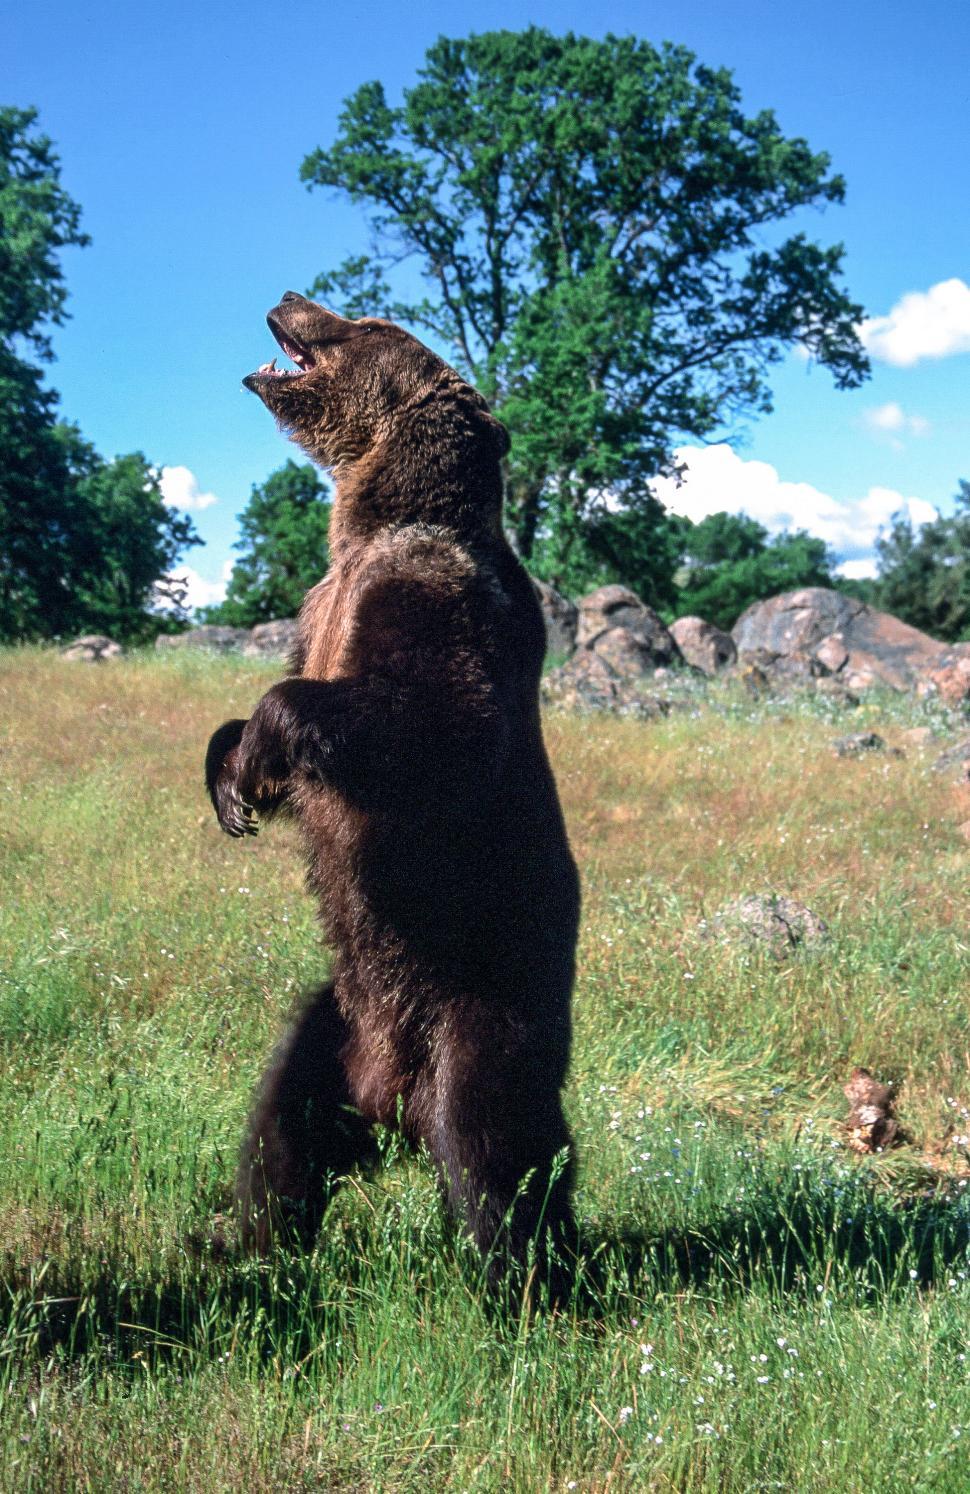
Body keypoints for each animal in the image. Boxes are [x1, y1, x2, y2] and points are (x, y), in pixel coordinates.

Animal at [205, 291, 580, 1293]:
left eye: (367, 321)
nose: (289, 296)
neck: (369, 526)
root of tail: (392, 1101)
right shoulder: (318, 606)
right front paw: (229, 782)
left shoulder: (436, 595)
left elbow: (431, 723)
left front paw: (262, 740)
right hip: (335, 1020)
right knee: (282, 1126)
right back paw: (253, 1251)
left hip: (480, 1002)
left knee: (497, 1151)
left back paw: (532, 1285)